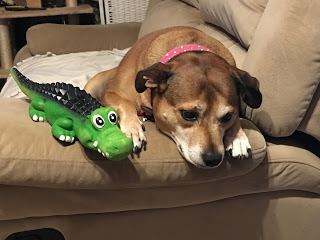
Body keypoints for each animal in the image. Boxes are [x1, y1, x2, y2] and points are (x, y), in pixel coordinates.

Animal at [85, 26, 262, 168]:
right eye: (188, 115)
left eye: (227, 117)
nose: (213, 159)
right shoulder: (111, 93)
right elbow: (125, 103)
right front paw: (132, 129)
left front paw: (237, 137)